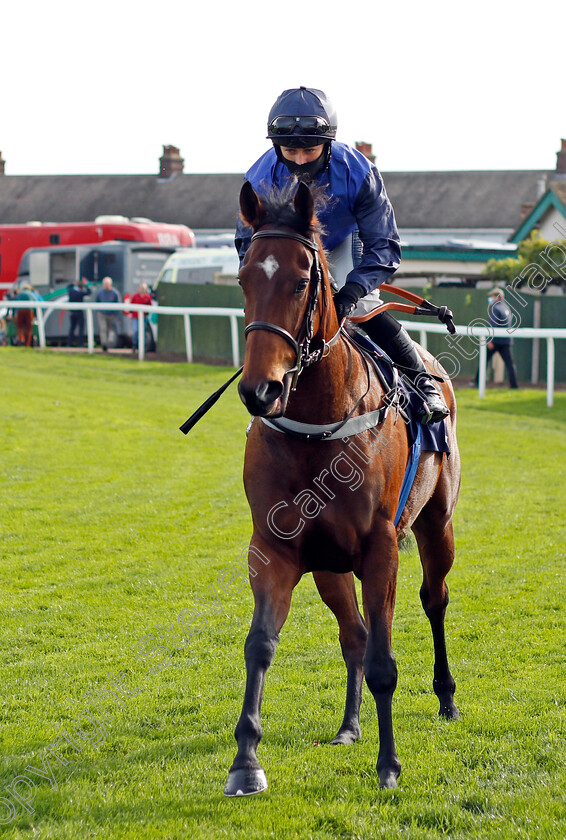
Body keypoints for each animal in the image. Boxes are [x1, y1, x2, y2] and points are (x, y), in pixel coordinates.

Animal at [226, 180, 462, 796]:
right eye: (244, 279)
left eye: (300, 281)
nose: (261, 390)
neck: (317, 425)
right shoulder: (275, 547)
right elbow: (260, 645)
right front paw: (245, 761)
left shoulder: (381, 550)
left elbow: (384, 662)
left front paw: (389, 765)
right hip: (330, 567)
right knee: (353, 633)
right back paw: (350, 726)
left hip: (437, 526)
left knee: (434, 600)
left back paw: (447, 698)